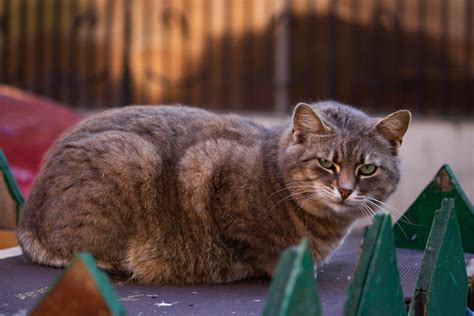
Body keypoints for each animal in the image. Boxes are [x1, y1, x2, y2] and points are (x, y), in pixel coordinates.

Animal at [17, 101, 412, 284]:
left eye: (367, 169)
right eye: (327, 163)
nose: (345, 191)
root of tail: (27, 220)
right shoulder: (209, 169)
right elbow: (258, 247)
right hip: (132, 156)